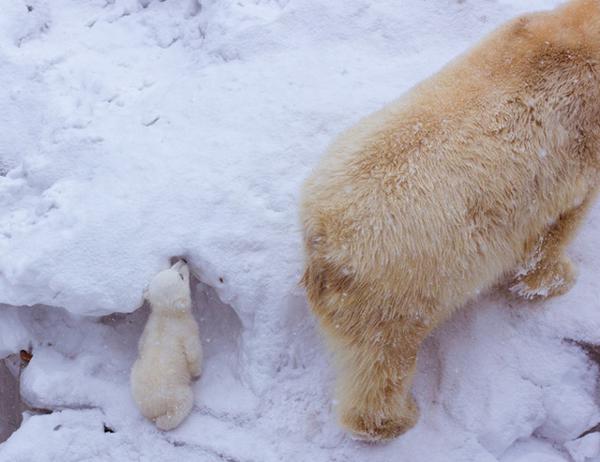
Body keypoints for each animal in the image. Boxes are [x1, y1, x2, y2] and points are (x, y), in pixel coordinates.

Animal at [130, 260, 203, 430]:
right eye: (181, 276)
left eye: (172, 269)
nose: (183, 260)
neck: (167, 314)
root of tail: (151, 408)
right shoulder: (187, 329)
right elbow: (194, 353)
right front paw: (198, 373)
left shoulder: (148, 326)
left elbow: (141, 343)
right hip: (176, 395)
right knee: (181, 407)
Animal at [302, 0, 600, 440]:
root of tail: (322, 243)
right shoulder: (577, 144)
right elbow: (559, 224)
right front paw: (556, 279)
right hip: (397, 285)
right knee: (383, 359)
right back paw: (396, 419)